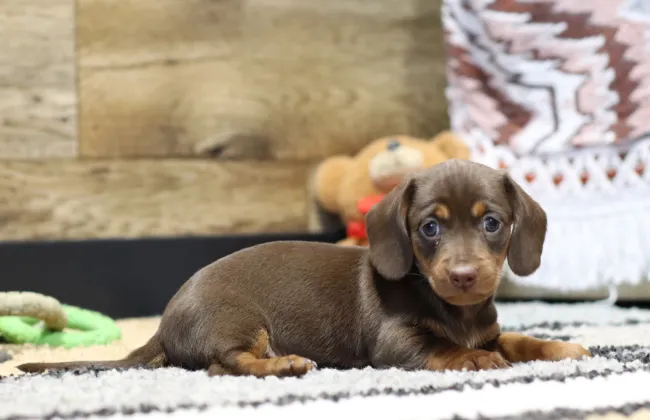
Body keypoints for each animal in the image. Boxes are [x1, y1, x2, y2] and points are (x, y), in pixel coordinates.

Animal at [19, 159, 588, 376]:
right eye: (430, 227)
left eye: (492, 223)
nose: (465, 276)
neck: (455, 310)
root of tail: (162, 325)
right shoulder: (395, 343)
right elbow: (443, 348)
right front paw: (474, 358)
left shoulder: (489, 328)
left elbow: (517, 339)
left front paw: (560, 346)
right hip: (238, 320)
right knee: (225, 364)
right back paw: (285, 364)